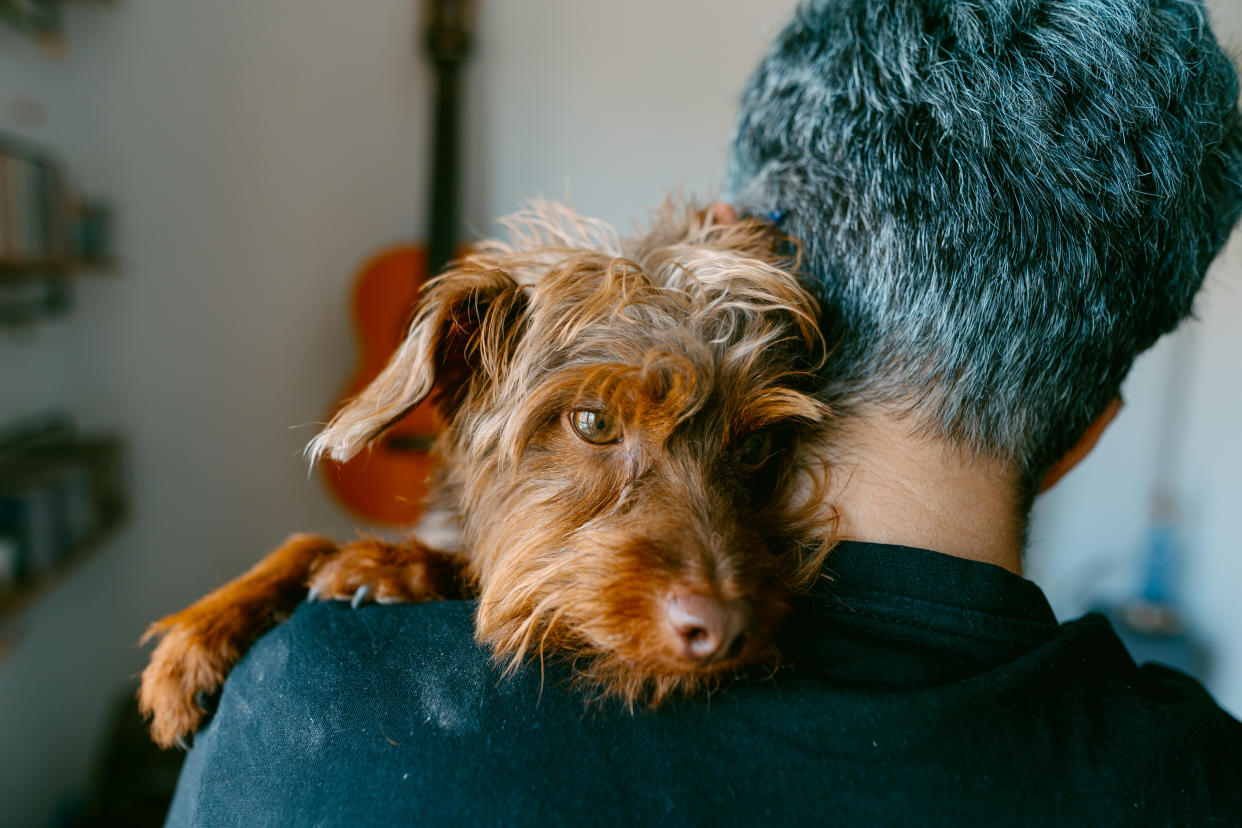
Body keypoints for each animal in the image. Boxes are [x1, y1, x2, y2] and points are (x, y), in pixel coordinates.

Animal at [138, 202, 834, 749]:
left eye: (756, 446)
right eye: (592, 421)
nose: (722, 629)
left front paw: (390, 568)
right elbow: (304, 542)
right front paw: (198, 638)